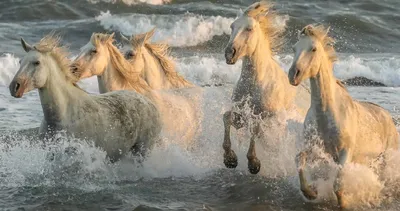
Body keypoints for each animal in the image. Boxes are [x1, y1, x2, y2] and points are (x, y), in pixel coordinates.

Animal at [8, 34, 161, 162]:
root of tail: (149, 103)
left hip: (142, 151)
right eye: (20, 61)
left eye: (37, 62)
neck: (63, 115)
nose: (14, 87)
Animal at [222, 0, 310, 174]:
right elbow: (227, 117)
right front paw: (230, 159)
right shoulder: (241, 113)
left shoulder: (269, 118)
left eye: (249, 28)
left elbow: (256, 128)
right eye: (232, 26)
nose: (229, 53)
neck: (256, 82)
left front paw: (254, 163)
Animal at [290, 23, 398, 209]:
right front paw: (311, 193)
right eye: (294, 48)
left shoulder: (345, 153)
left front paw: (345, 203)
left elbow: (338, 185)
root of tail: (388, 117)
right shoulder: (314, 148)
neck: (327, 113)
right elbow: (299, 161)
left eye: (313, 48)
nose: (293, 75)